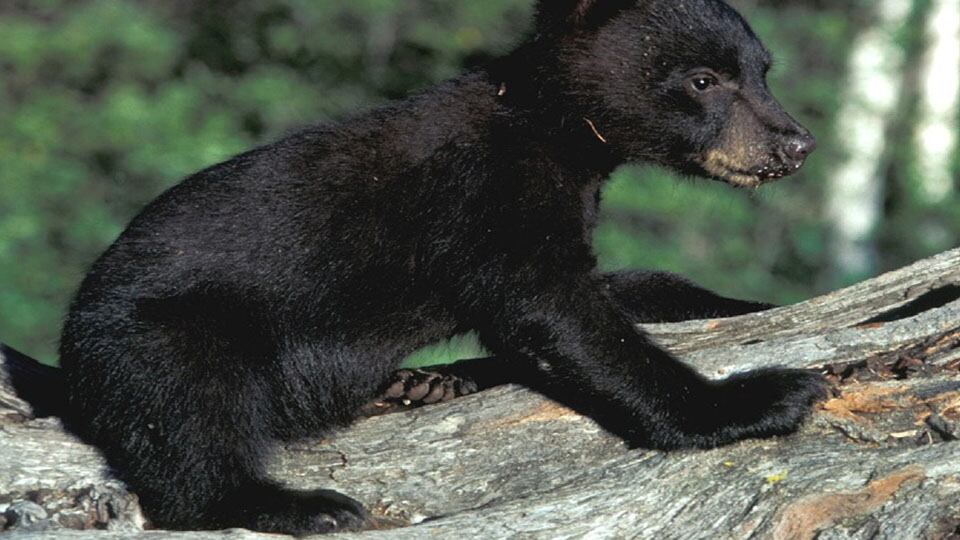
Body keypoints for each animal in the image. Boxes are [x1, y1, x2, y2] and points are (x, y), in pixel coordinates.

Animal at [59, 0, 823, 534]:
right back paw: (307, 504)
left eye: (762, 71)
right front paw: (769, 395)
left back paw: (422, 386)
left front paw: (751, 307)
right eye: (703, 79)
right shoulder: (483, 196)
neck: (551, 132)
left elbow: (618, 288)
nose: (795, 143)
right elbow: (563, 318)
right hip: (160, 330)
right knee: (189, 416)